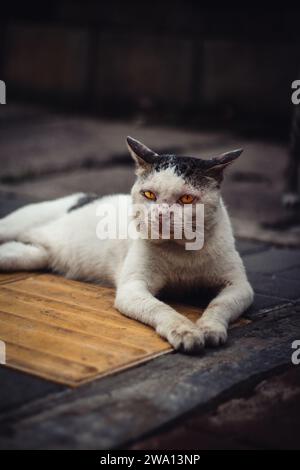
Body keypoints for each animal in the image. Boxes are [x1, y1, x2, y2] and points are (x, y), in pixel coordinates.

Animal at [0, 136, 253, 352]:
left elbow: (219, 305)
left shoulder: (240, 286)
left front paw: (209, 328)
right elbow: (161, 308)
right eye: (149, 194)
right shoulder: (132, 288)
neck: (181, 251)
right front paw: (185, 330)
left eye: (187, 198)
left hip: (31, 255)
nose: (161, 215)